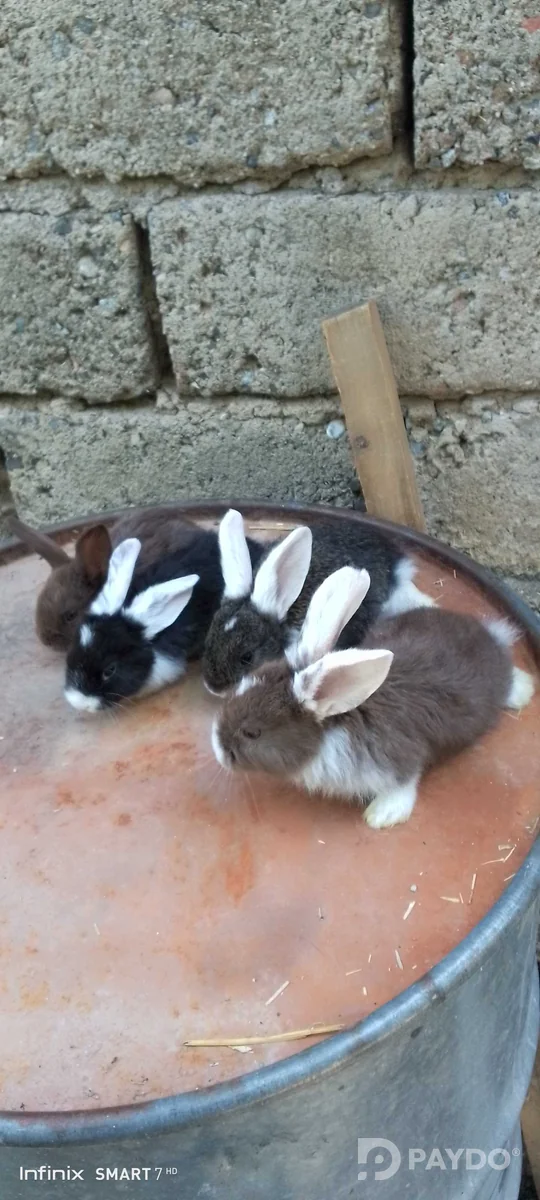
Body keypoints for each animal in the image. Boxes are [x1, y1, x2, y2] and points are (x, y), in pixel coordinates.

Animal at [212, 565, 535, 828]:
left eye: (252, 732)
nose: (217, 749)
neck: (336, 722)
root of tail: (490, 635)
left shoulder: (400, 762)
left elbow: (403, 786)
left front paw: (381, 816)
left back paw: (524, 691)